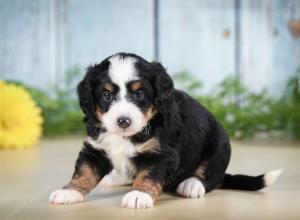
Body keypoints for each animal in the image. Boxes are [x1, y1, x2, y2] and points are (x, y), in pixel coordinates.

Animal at [48, 52, 282, 209]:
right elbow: (84, 172)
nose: (123, 121)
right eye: (106, 95)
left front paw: (139, 195)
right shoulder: (95, 148)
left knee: (210, 173)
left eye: (139, 93)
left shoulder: (161, 154)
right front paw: (69, 191)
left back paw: (192, 184)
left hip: (220, 143)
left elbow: (148, 175)